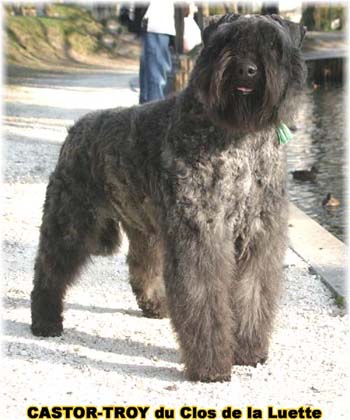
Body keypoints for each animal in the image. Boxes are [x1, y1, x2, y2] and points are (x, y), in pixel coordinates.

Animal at [30, 13, 306, 380]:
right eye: (227, 40)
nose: (247, 70)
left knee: (141, 267)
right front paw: (211, 366)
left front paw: (249, 351)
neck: (239, 140)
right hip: (70, 222)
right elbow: (203, 299)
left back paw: (155, 305)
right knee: (49, 269)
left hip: (146, 229)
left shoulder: (258, 236)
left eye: (273, 44)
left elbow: (252, 294)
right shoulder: (201, 234)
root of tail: (75, 130)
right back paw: (45, 321)